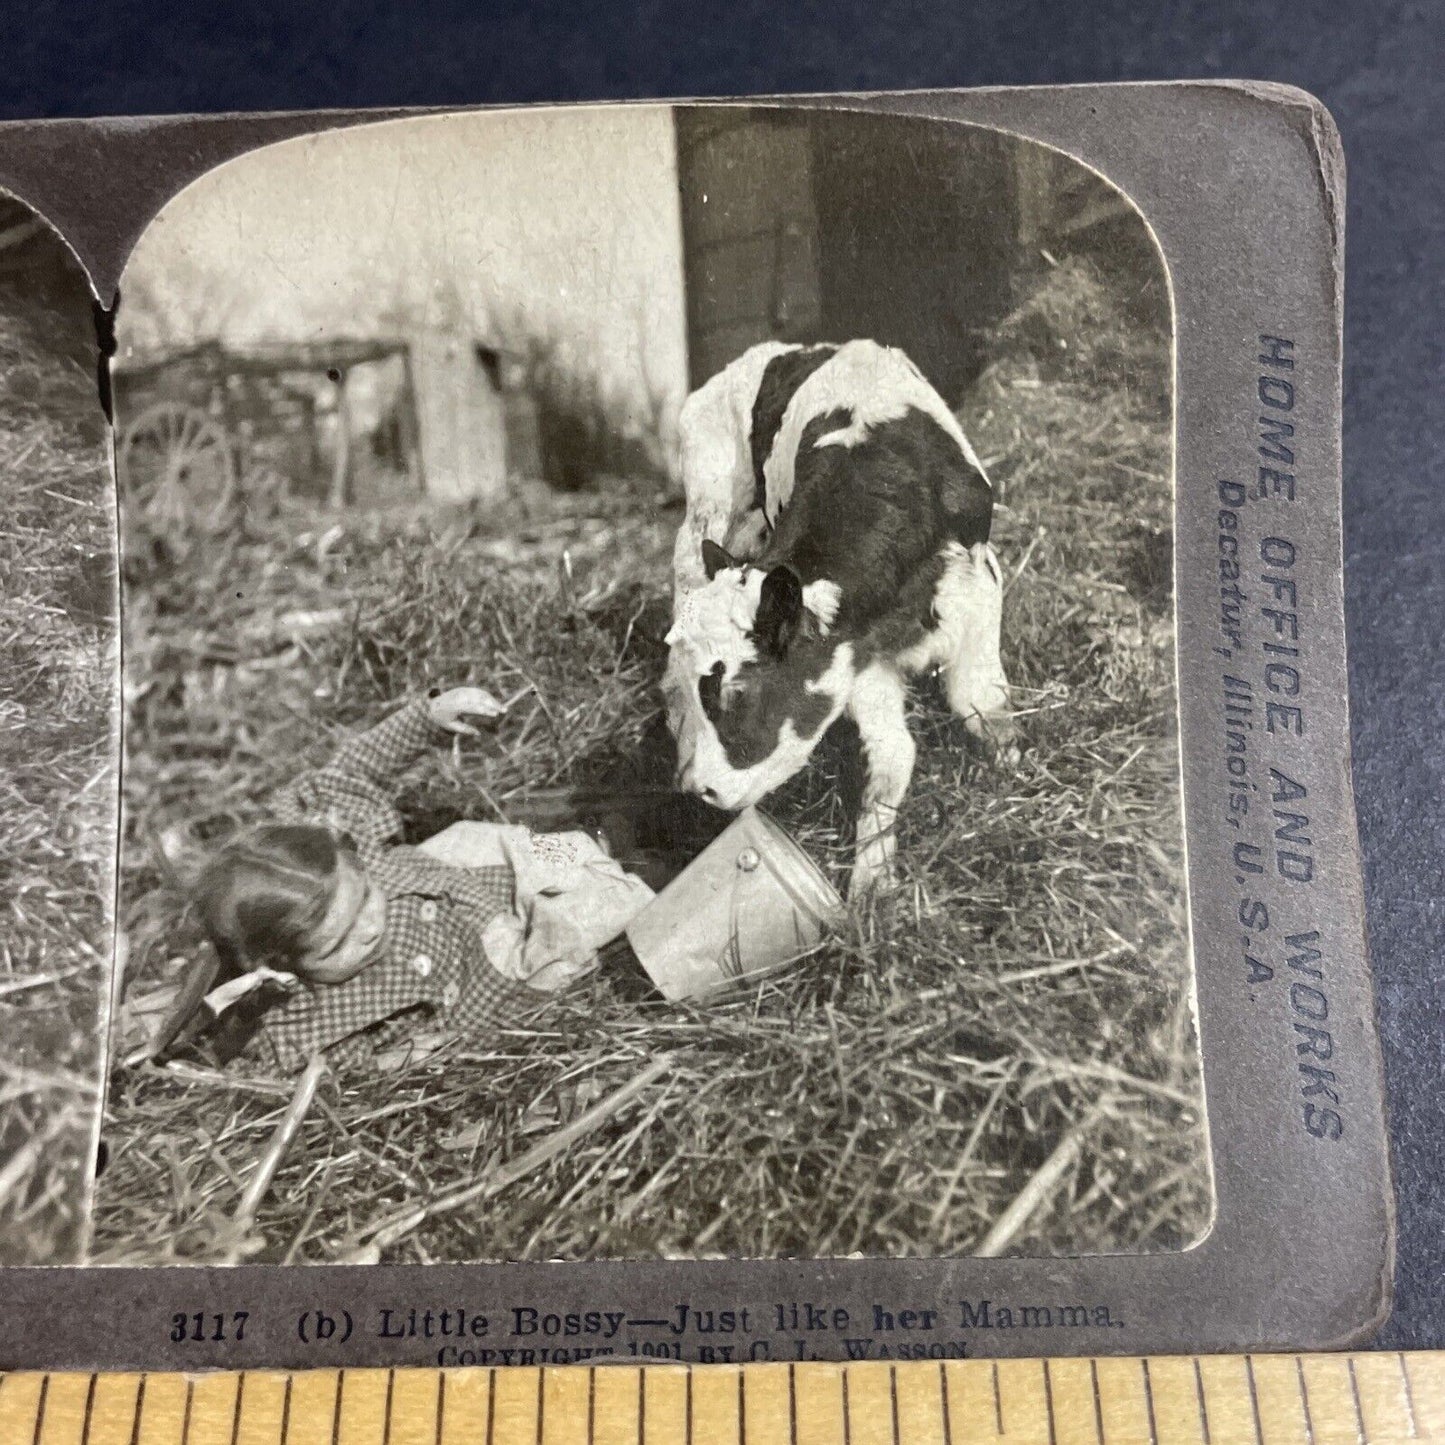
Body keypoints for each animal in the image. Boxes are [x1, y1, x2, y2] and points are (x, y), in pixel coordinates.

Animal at [661, 339, 1017, 895]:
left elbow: (980, 704)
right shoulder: (856, 659)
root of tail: (780, 350)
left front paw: (1011, 771)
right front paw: (873, 885)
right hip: (707, 512)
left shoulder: (978, 590)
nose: (702, 789)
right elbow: (892, 756)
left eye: (739, 692)